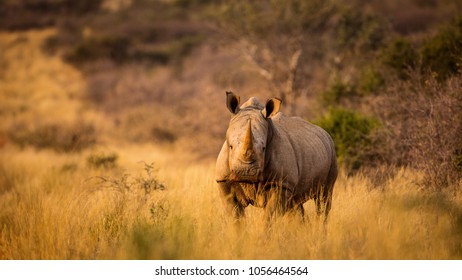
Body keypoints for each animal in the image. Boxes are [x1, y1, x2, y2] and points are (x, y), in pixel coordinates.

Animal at [215, 92, 338, 221]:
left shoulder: (281, 183)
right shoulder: (224, 180)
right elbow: (235, 215)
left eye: (264, 148)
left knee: (323, 198)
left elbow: (269, 215)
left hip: (331, 152)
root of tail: (324, 133)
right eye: (230, 146)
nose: (246, 173)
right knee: (295, 204)